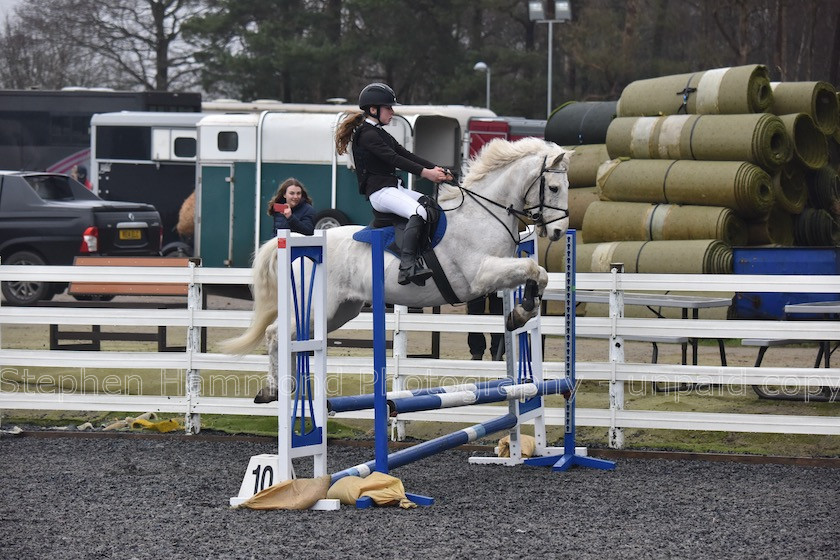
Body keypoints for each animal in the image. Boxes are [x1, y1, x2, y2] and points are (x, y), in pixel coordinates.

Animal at [218, 139, 572, 402]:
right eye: (554, 188)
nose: (557, 232)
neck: (483, 214)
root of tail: (301, 247)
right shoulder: (481, 275)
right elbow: (533, 267)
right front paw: (521, 313)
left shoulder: (497, 277)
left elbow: (537, 273)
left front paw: (520, 313)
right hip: (320, 307)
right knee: (275, 333)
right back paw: (273, 389)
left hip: (338, 311)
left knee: (291, 336)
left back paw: (288, 389)